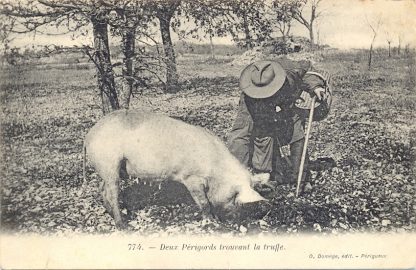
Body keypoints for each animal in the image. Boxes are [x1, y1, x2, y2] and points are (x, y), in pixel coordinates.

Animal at [83, 109, 266, 228]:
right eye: (235, 197)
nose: (236, 221)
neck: (216, 170)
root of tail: (90, 134)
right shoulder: (191, 178)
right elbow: (204, 202)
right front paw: (212, 222)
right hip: (109, 161)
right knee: (112, 192)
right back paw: (123, 224)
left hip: (109, 168)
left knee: (102, 188)